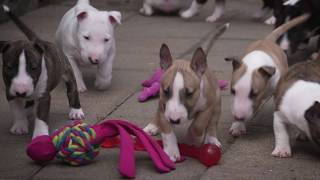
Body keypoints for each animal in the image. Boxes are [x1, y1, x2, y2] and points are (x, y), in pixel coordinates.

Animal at [0, 5, 85, 138]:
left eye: (34, 67)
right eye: (9, 67)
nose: (21, 92)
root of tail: (39, 41)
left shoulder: (44, 96)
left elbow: (41, 117)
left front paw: (40, 135)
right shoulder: (10, 93)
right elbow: (17, 112)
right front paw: (19, 126)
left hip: (67, 72)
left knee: (72, 91)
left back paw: (76, 111)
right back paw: (27, 110)